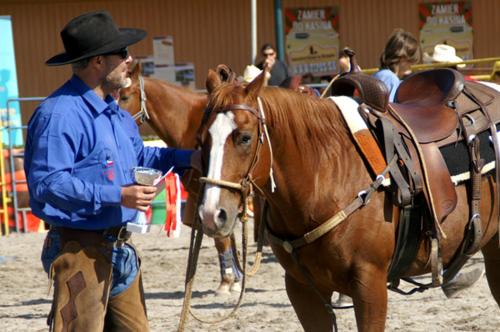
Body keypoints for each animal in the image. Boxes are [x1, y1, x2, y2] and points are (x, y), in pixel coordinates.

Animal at [117, 63, 242, 294]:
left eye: (125, 96)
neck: (188, 124)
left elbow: (222, 238)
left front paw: (228, 280)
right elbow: (226, 236)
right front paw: (236, 278)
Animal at [196, 68, 500, 330]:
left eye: (245, 138)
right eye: (200, 140)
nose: (212, 214)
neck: (325, 177)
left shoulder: (369, 284)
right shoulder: (302, 289)